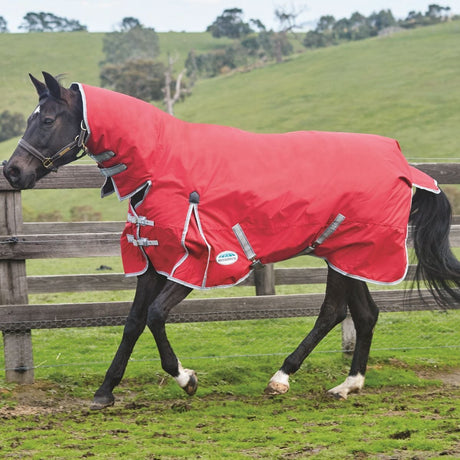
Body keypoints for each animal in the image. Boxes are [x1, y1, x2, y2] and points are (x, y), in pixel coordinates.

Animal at [3, 73, 460, 410]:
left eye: (47, 120)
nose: (12, 171)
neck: (162, 165)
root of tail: (404, 165)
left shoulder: (198, 264)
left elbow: (154, 315)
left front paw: (186, 379)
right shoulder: (153, 261)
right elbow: (133, 322)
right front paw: (104, 392)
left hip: (350, 254)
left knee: (335, 312)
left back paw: (283, 378)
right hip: (346, 256)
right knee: (362, 314)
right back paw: (346, 385)